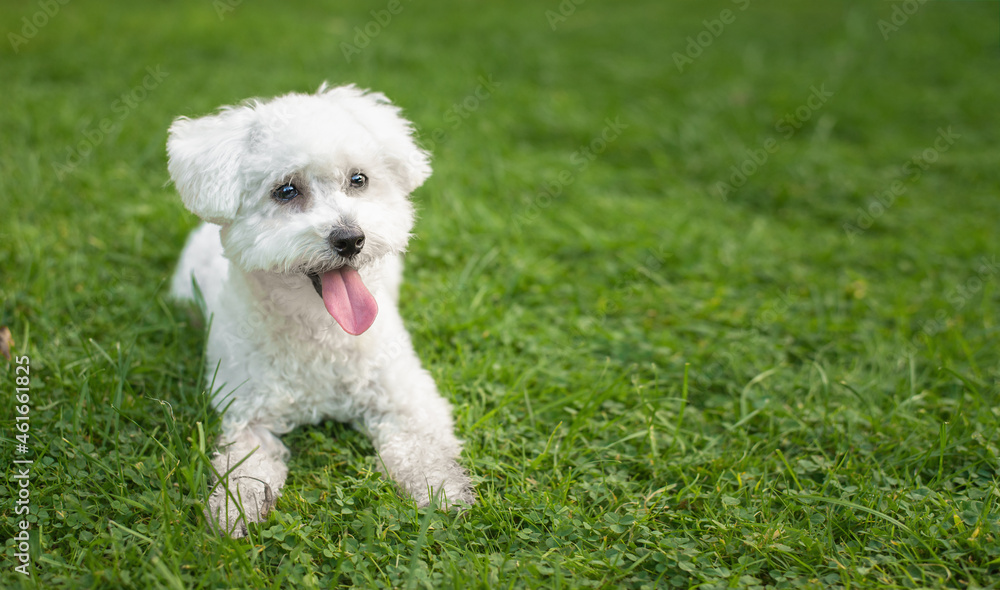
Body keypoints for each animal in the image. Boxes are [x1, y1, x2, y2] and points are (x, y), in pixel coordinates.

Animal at [167, 84, 476, 540]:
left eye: (358, 179)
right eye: (286, 190)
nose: (350, 239)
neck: (322, 331)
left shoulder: (406, 394)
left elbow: (422, 445)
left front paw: (441, 487)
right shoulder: (247, 411)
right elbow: (244, 466)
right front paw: (234, 510)